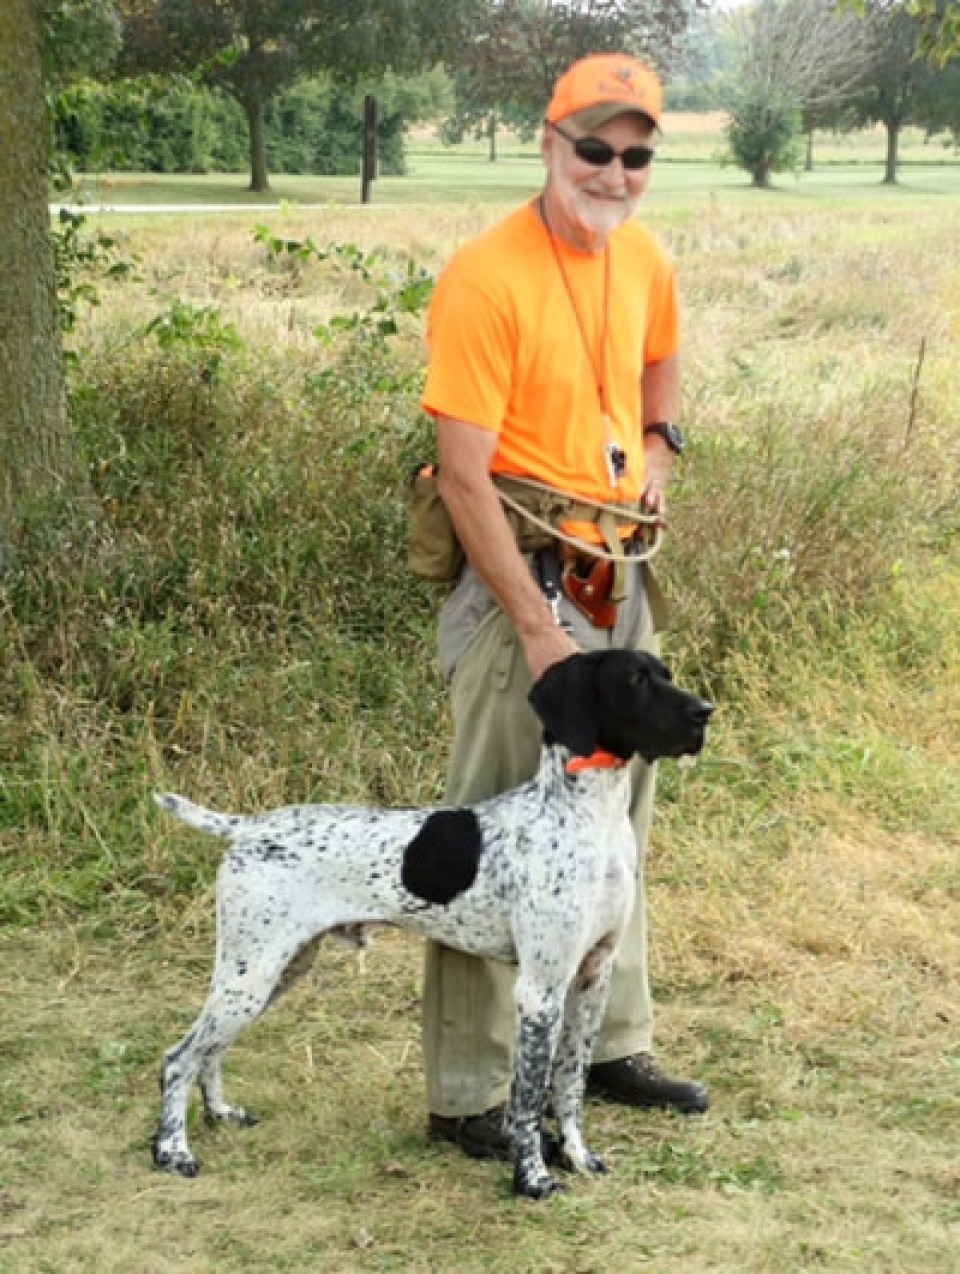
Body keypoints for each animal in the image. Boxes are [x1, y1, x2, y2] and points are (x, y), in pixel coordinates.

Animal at [147, 652, 702, 1197]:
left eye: (665, 674)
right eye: (635, 680)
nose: (705, 713)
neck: (589, 816)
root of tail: (246, 827)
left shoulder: (592, 976)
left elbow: (569, 1085)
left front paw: (578, 1157)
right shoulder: (539, 989)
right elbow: (527, 1100)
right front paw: (533, 1178)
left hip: (274, 972)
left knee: (210, 1051)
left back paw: (221, 1113)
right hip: (251, 975)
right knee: (179, 1058)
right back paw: (173, 1152)